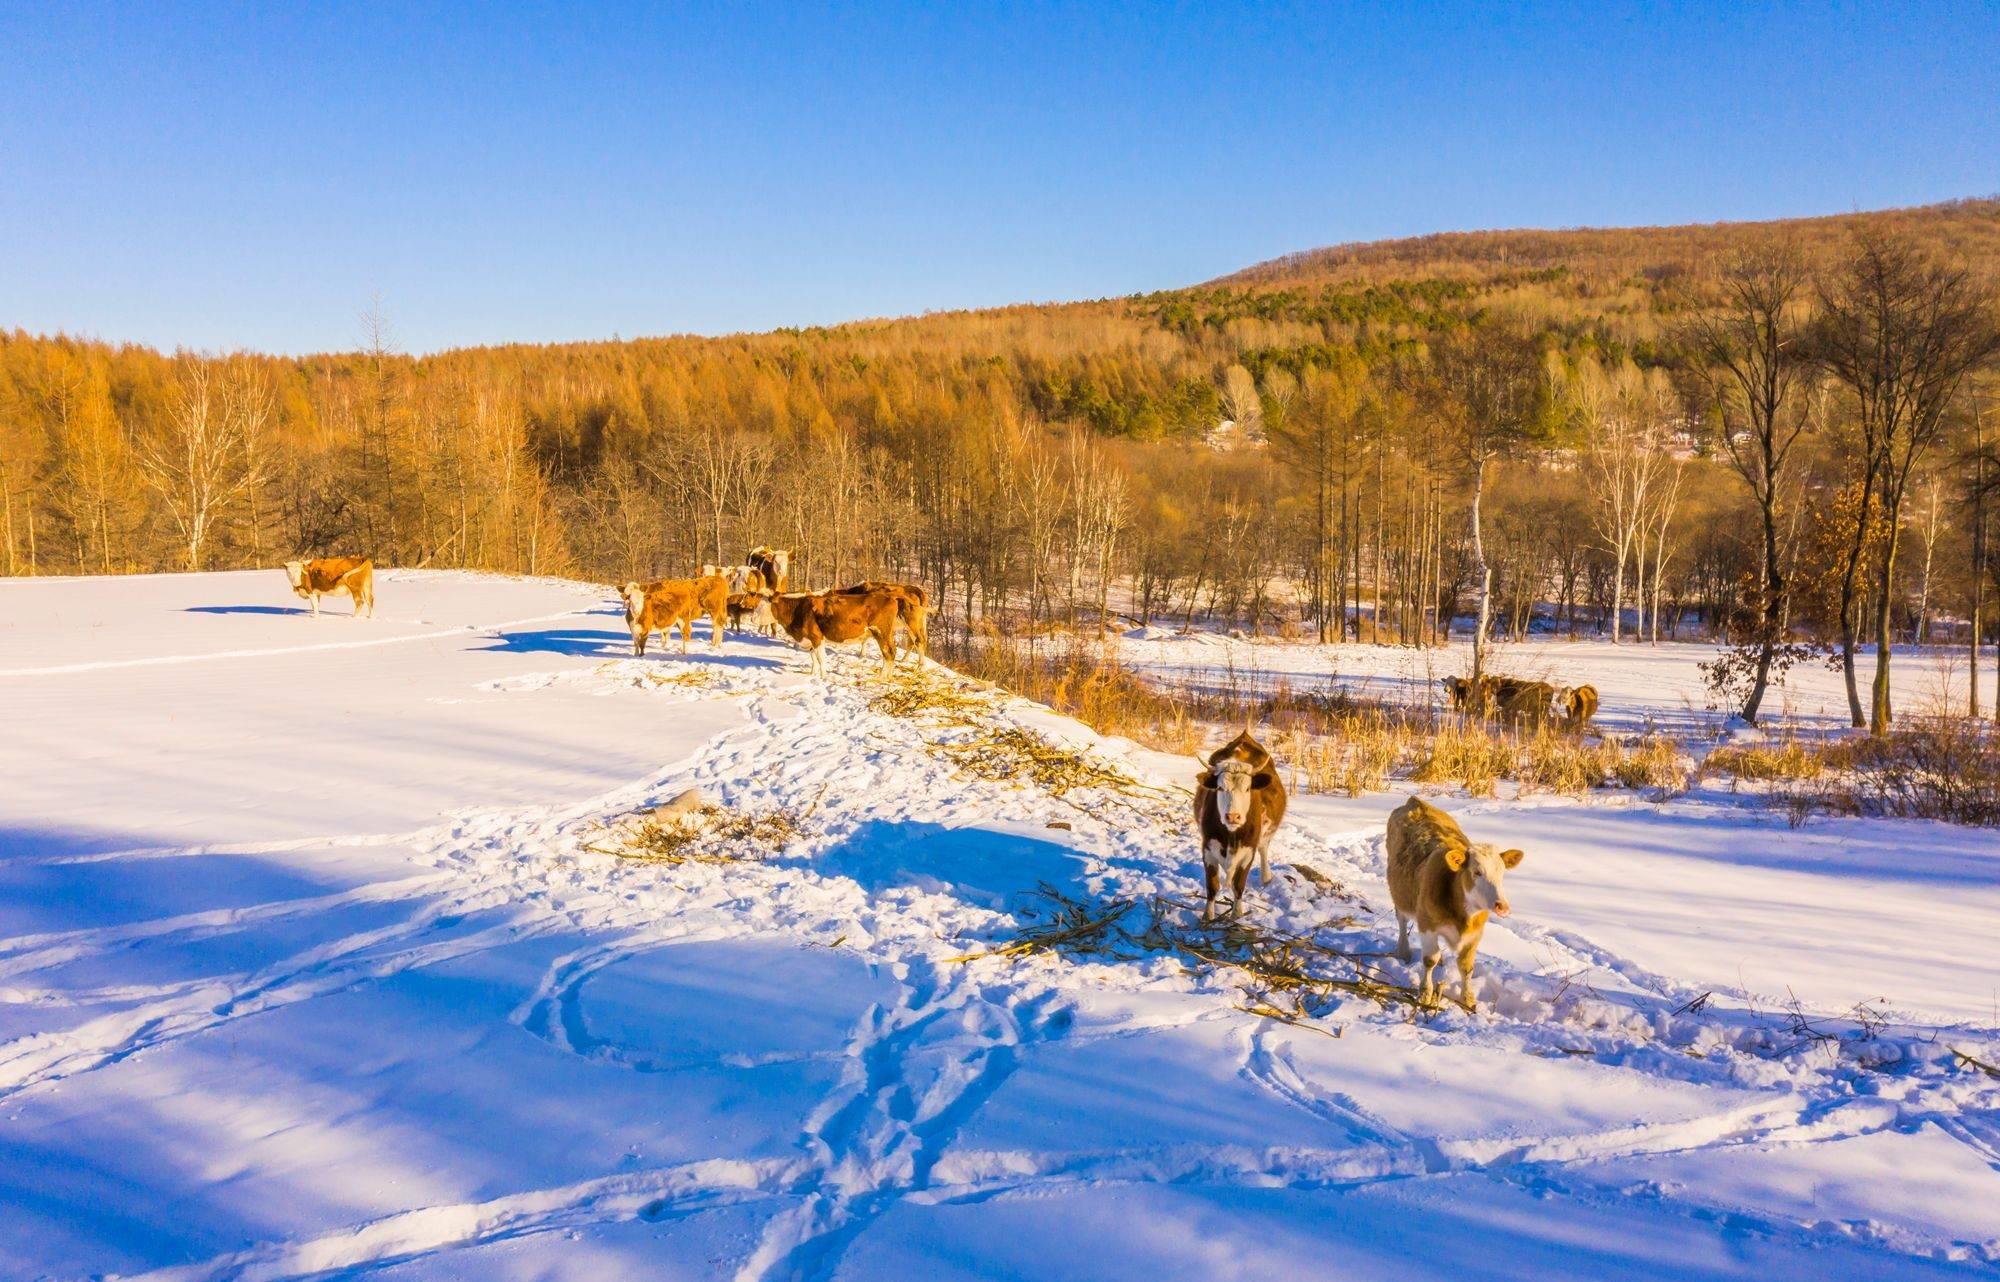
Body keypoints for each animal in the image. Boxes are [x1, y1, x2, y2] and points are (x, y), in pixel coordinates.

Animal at [1192, 728, 1288, 920]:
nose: (1233, 816)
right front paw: (1208, 917)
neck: (1231, 836)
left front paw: (1237, 914)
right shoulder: (1208, 849)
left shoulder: (1248, 852)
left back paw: (1266, 877)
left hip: (1265, 836)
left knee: (1264, 849)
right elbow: (1212, 887)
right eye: (1220, 788)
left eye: (1247, 788)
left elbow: (1239, 885)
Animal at [1384, 792, 1520, 1008]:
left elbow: (1466, 966)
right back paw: (1404, 951)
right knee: (1402, 920)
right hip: (1399, 893)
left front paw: (1468, 999)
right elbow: (1429, 959)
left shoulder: (1476, 934)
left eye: (1502, 873)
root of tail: (1415, 801)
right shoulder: (1427, 924)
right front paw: (1425, 993)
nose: (1502, 906)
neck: (1463, 915)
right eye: (1477, 872)